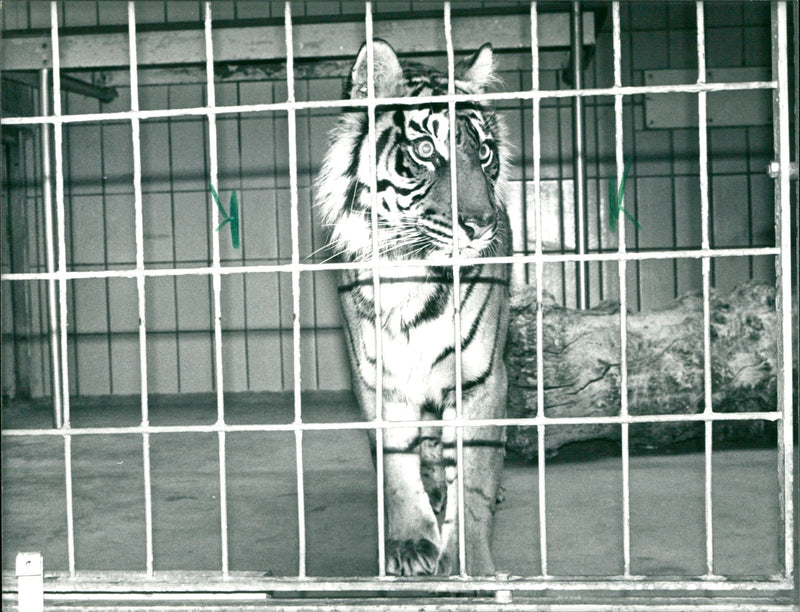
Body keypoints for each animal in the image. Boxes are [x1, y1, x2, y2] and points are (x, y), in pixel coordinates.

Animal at [315, 39, 511, 577]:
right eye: (426, 151)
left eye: (484, 151)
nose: (482, 224)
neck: (411, 271)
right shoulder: (378, 377)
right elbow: (397, 465)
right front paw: (409, 545)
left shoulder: (481, 378)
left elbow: (474, 479)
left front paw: (469, 563)